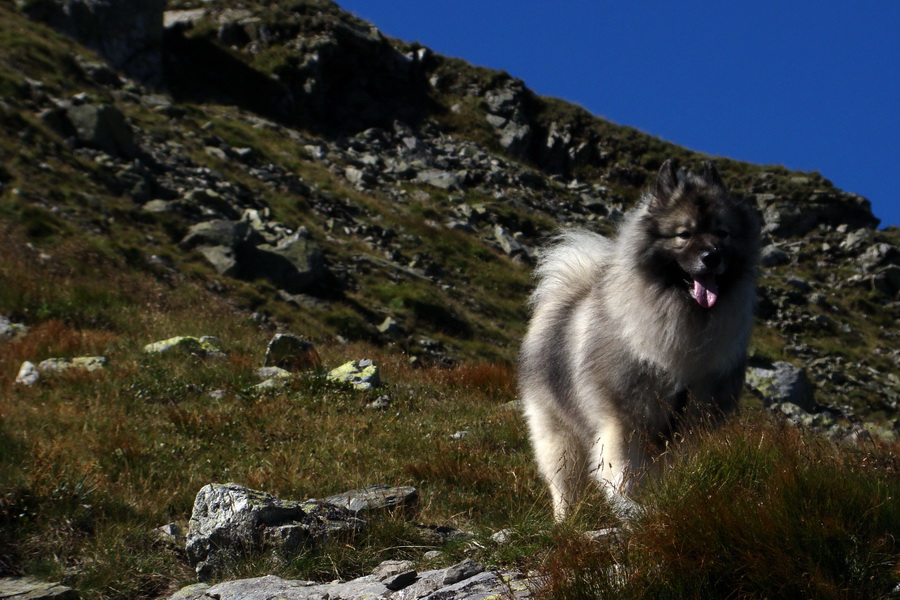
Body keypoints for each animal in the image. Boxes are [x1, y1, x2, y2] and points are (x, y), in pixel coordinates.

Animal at [520, 159, 760, 520]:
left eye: (723, 233)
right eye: (684, 234)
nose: (712, 256)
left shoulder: (686, 427)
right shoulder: (622, 417)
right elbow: (619, 470)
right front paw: (628, 507)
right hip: (556, 433)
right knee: (563, 486)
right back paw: (565, 522)